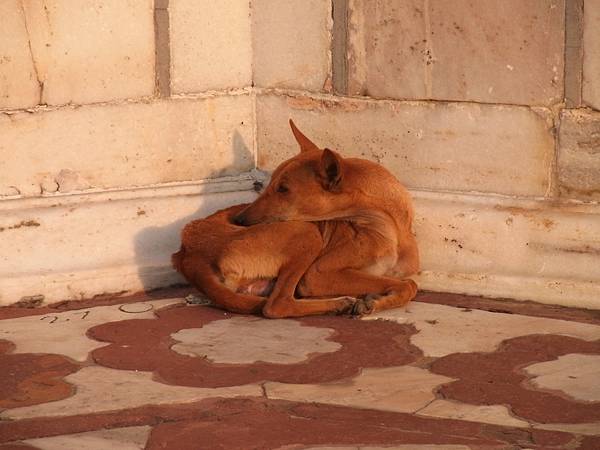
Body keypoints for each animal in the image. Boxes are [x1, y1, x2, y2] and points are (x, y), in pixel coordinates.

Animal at [171, 119, 420, 316]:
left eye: (283, 189)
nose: (237, 220)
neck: (389, 227)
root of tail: (188, 249)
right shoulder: (317, 275)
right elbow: (408, 284)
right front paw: (372, 302)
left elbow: (408, 283)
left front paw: (375, 301)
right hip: (307, 233)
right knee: (276, 306)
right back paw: (337, 304)